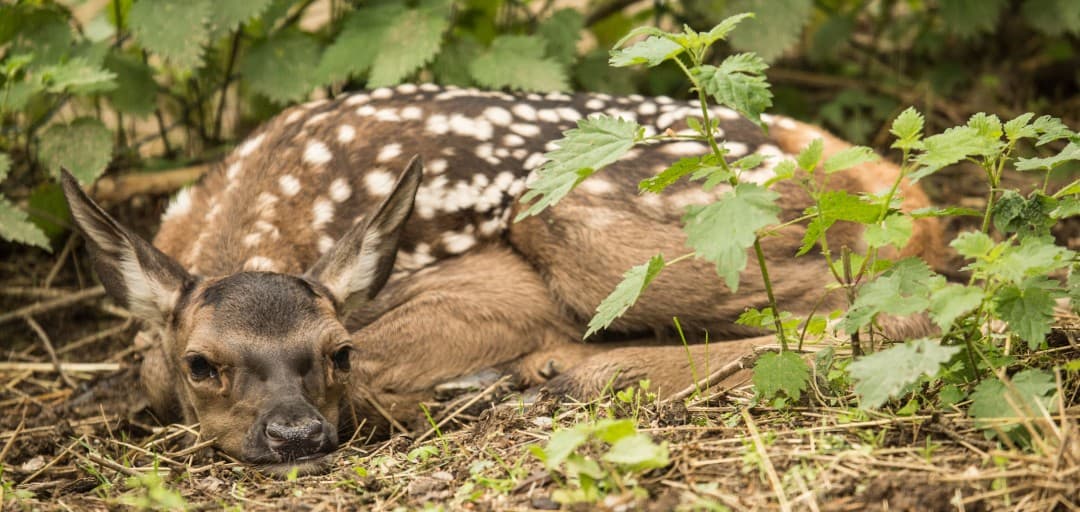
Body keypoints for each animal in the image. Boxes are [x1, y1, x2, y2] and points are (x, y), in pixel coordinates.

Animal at [61, 83, 942, 474]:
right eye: (201, 363)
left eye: (337, 350)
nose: (296, 435)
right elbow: (144, 372)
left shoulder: (493, 289)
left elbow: (387, 372)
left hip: (573, 210)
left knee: (892, 312)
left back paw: (564, 374)